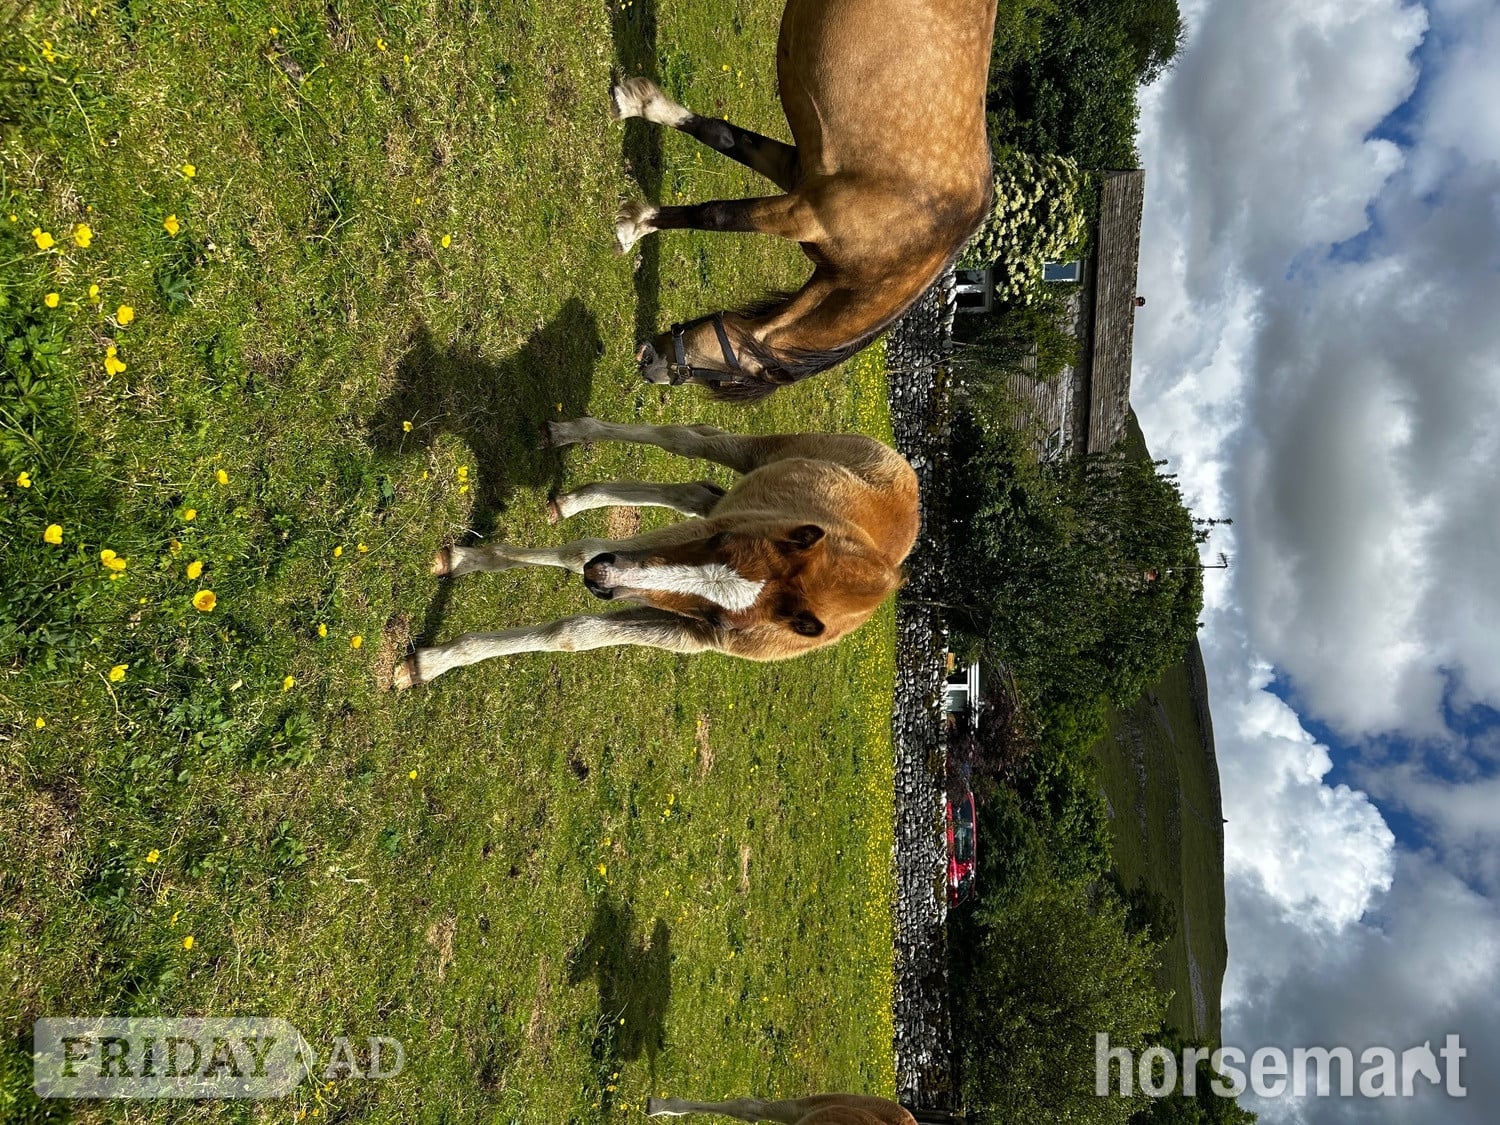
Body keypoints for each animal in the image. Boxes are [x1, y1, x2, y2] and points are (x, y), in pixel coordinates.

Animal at [392, 416, 918, 688]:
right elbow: (580, 551)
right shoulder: (695, 534)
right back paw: (570, 436)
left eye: (720, 619)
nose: (601, 579)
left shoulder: (687, 632)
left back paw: (573, 501)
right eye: (720, 541)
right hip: (762, 453)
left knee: (695, 490)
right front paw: (464, 562)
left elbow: (575, 632)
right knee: (689, 440)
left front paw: (430, 662)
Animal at [612, 0, 999, 400]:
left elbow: (720, 155)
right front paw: (633, 224)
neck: (908, 245)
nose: (648, 361)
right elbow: (718, 196)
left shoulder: (797, 188)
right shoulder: (802, 209)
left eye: (718, 379)